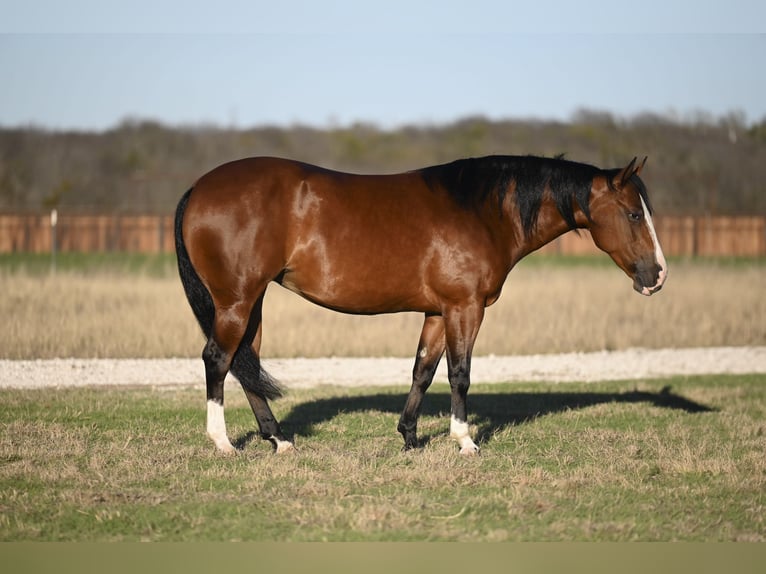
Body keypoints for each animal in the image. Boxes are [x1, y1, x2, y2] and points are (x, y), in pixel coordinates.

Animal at [174, 155, 664, 456]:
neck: (482, 211)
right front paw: (464, 440)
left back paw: (279, 440)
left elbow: (423, 370)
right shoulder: (466, 308)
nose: (657, 276)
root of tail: (199, 186)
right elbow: (460, 374)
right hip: (236, 300)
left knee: (246, 362)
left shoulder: (437, 311)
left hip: (252, 301)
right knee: (218, 359)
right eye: (633, 213)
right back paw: (223, 443)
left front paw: (409, 437)